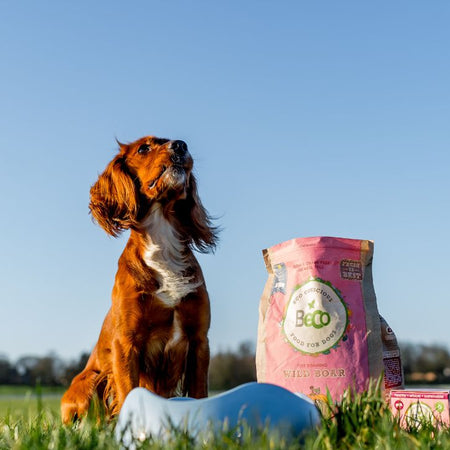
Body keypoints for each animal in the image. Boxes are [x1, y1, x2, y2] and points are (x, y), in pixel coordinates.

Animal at [60, 135, 218, 424]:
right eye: (144, 148)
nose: (181, 145)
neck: (162, 238)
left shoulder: (199, 340)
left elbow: (199, 392)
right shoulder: (126, 343)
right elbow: (128, 393)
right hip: (88, 381)